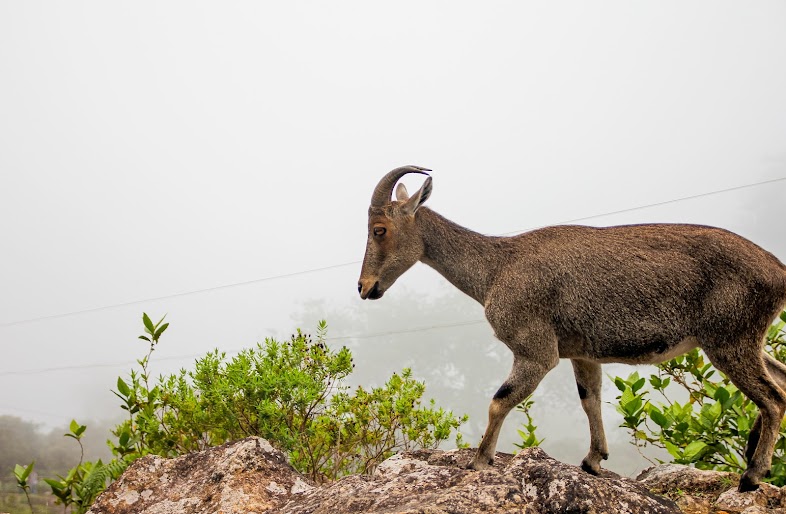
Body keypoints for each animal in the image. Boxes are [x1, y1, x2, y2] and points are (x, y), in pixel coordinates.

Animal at [356, 165, 784, 492]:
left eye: (379, 229)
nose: (364, 287)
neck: (496, 267)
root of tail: (778, 271)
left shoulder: (535, 349)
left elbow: (499, 400)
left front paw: (479, 461)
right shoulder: (581, 352)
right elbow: (589, 398)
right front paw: (593, 461)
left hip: (729, 339)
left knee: (773, 397)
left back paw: (751, 475)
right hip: (748, 340)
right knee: (780, 379)